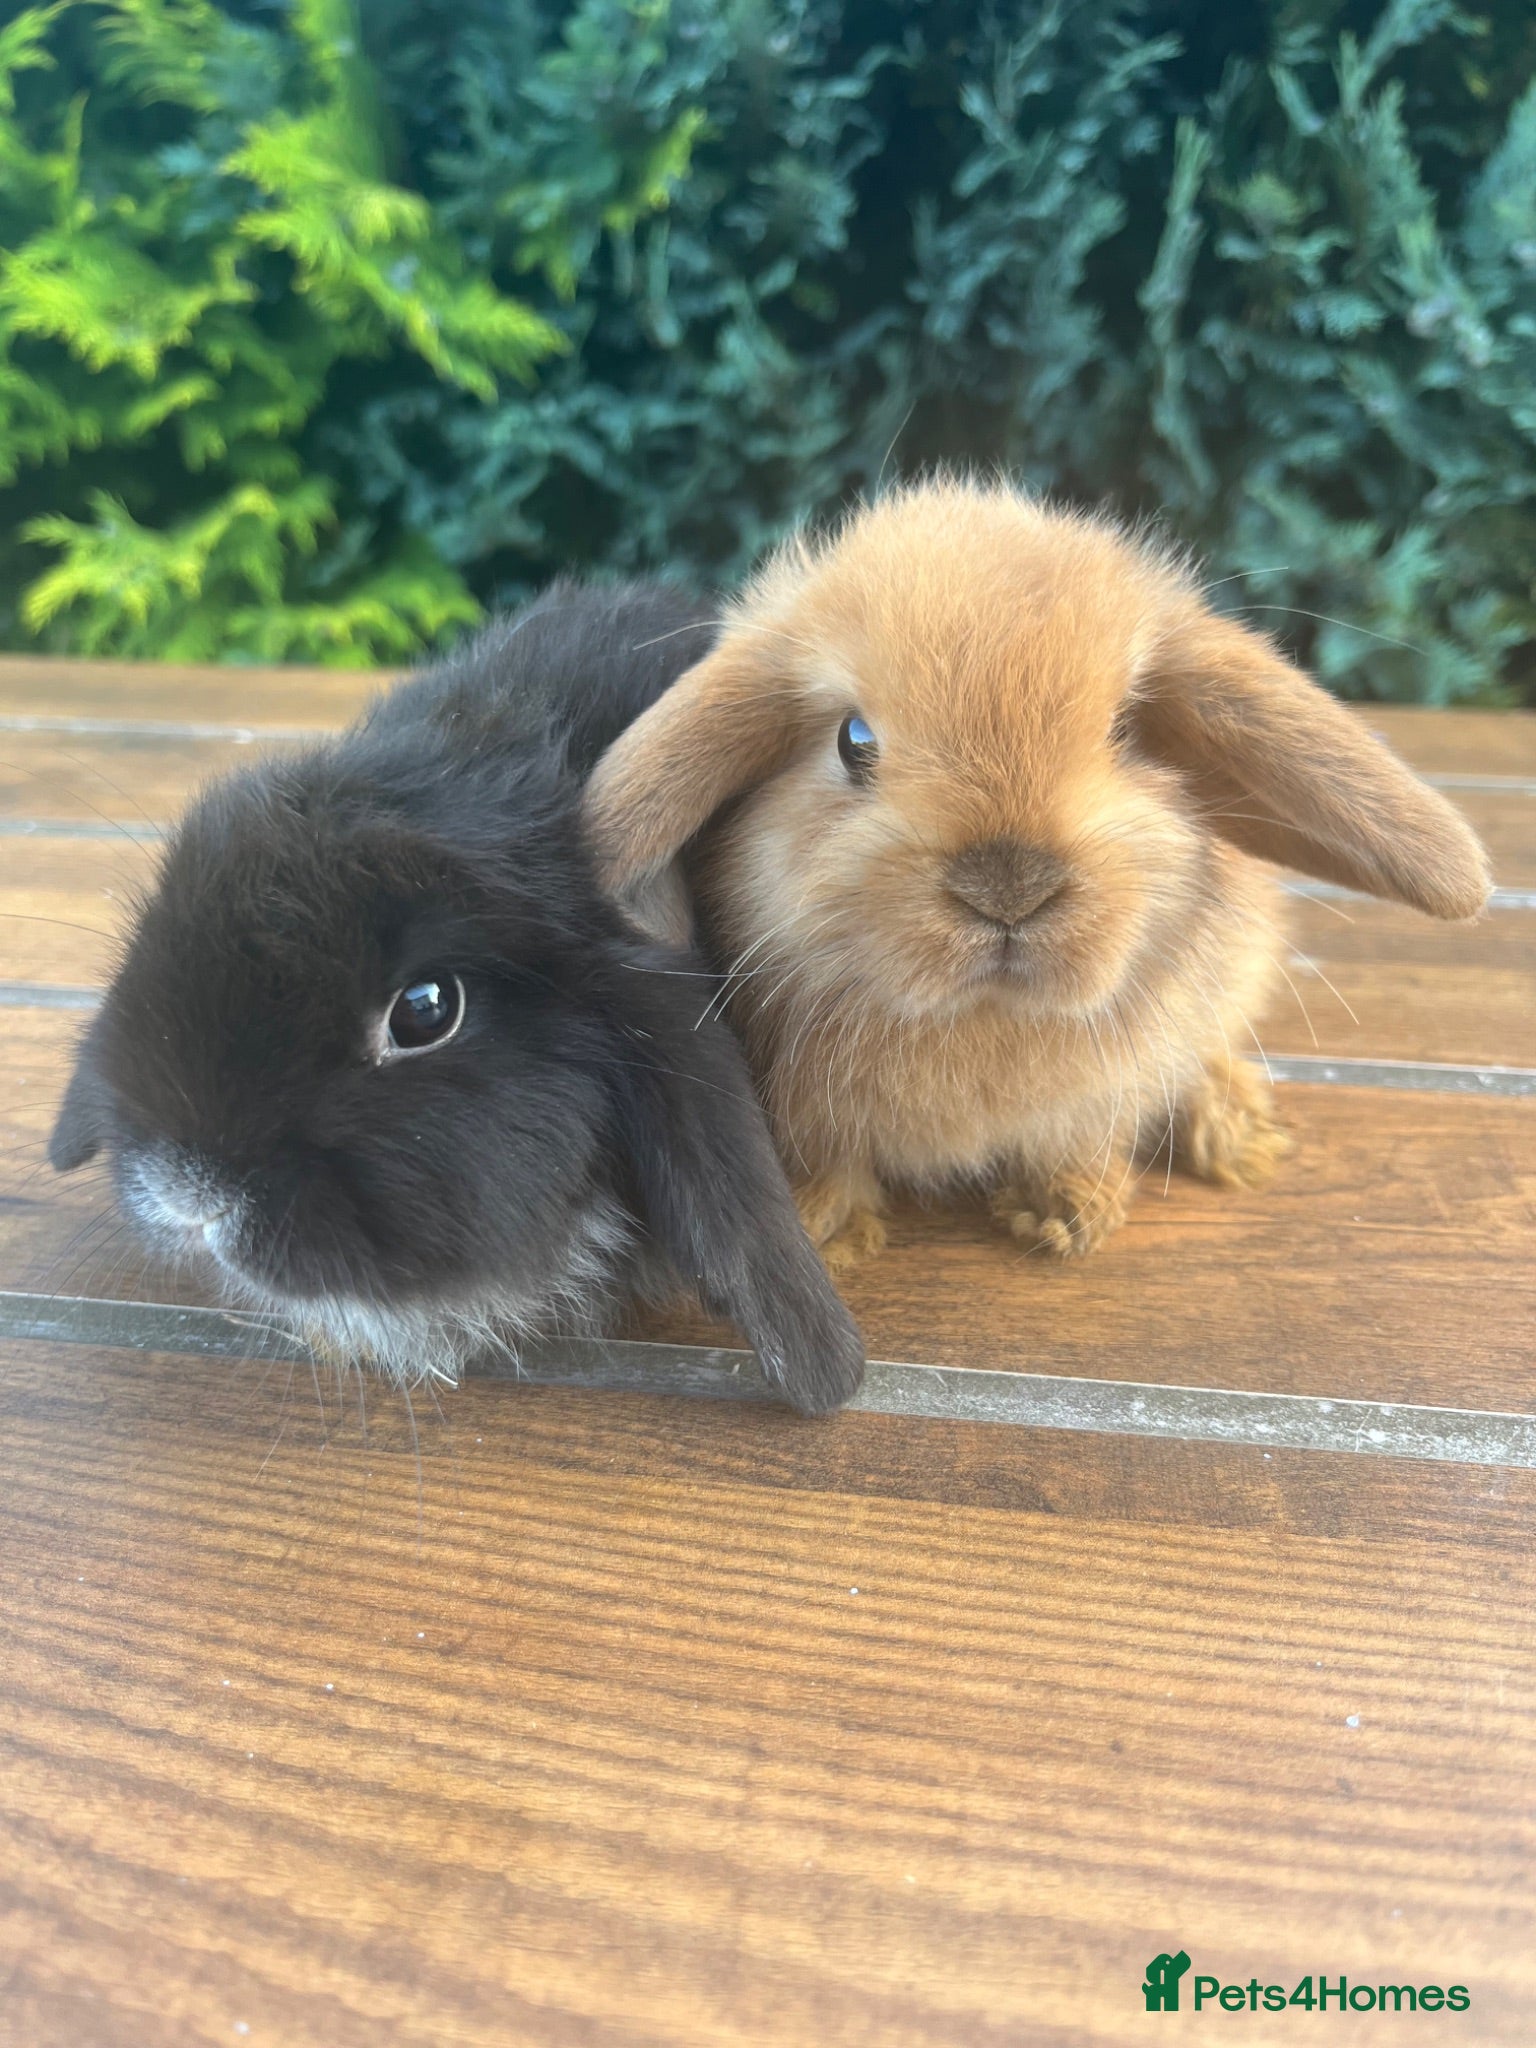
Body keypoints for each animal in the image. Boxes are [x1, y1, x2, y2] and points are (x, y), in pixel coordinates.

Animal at [584, 478, 1491, 1270]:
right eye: (853, 741)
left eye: (1124, 729)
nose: (1008, 885)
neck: (987, 1020)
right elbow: (828, 1157)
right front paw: (823, 1227)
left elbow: (1084, 1132)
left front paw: (1071, 1211)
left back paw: (1237, 1129)